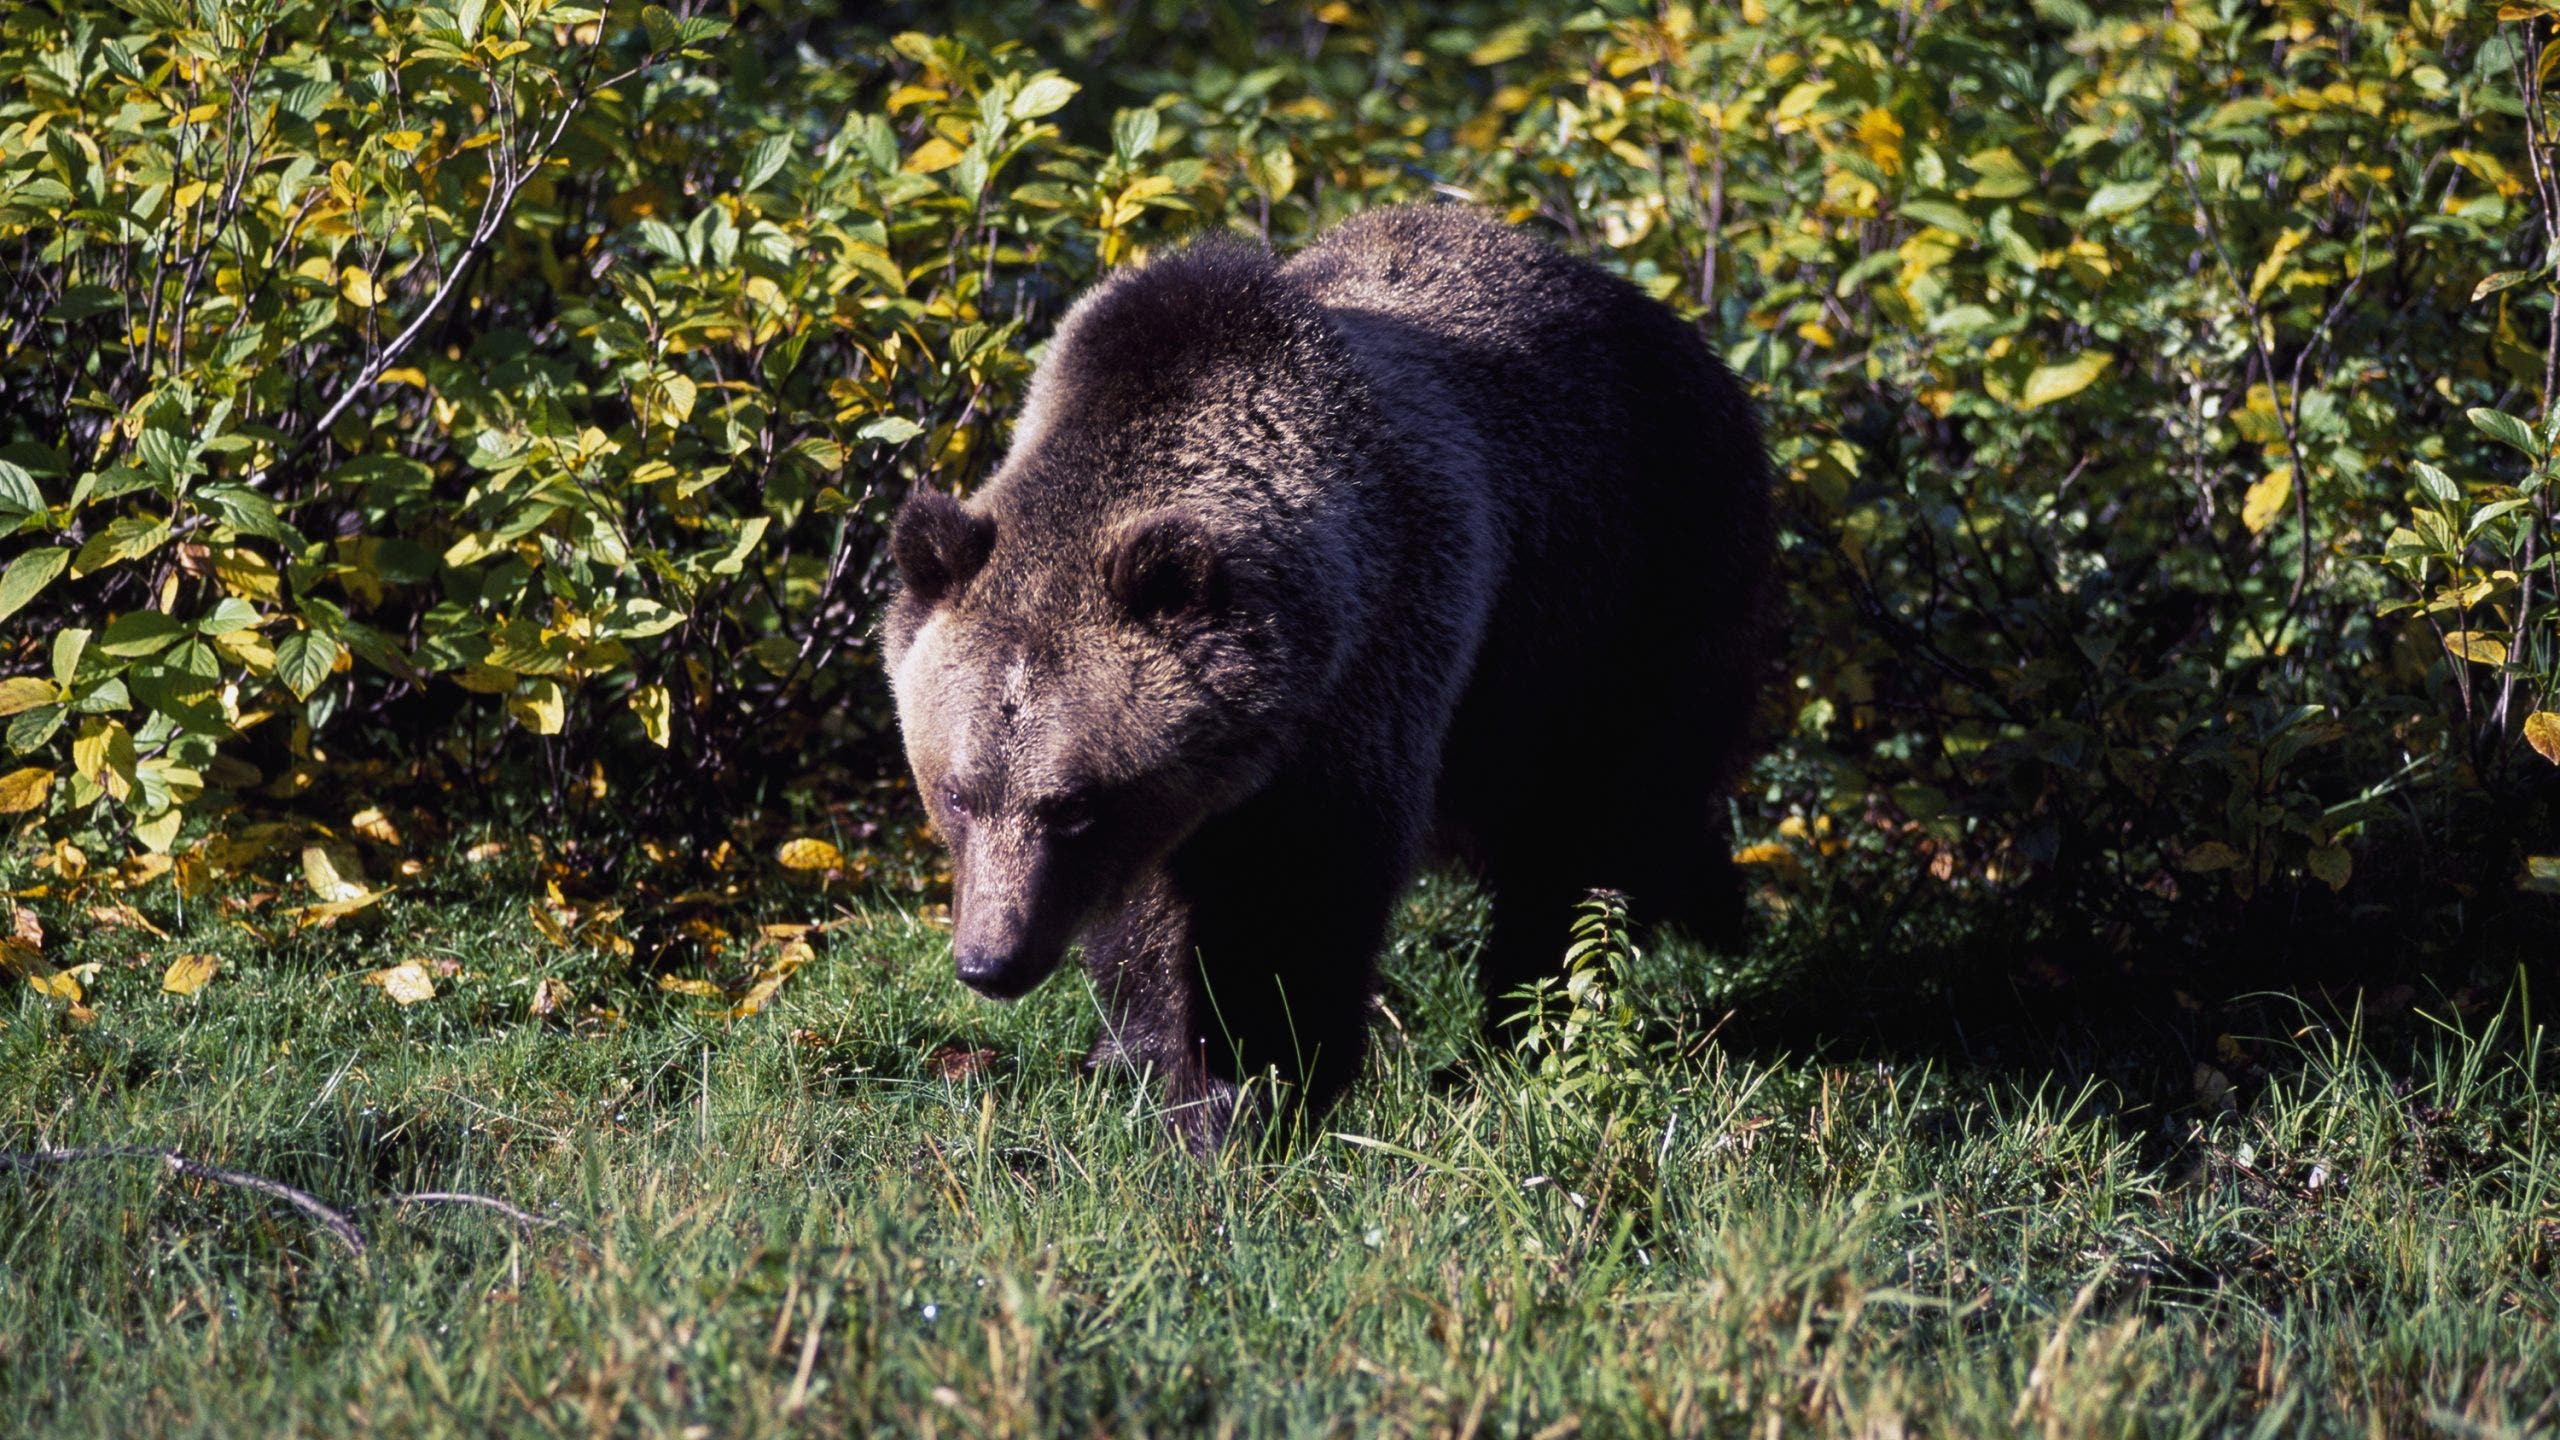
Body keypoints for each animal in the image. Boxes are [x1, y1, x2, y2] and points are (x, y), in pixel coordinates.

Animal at [883, 205, 1772, 1153]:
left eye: (1076, 804)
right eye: (955, 791)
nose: (990, 961)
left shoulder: (1370, 672)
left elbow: (1295, 896)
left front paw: (1247, 1089)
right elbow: (1150, 921)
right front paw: (1137, 1056)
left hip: (1627, 598)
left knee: (1592, 829)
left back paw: (1536, 1020)